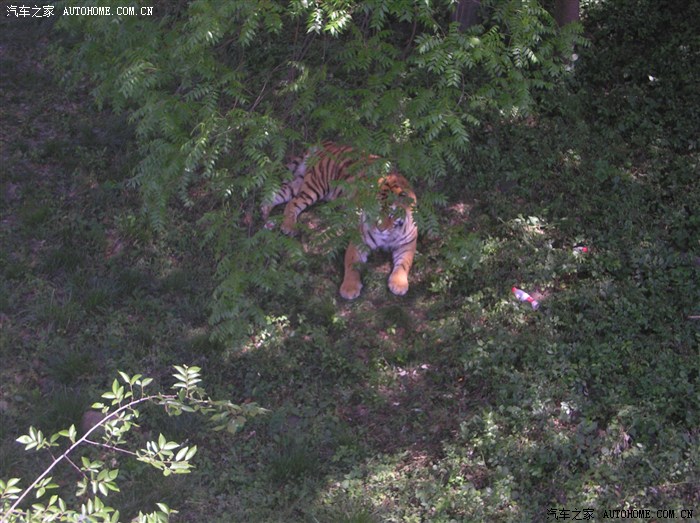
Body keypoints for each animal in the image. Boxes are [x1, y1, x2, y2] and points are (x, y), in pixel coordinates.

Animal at [262, 141, 416, 300]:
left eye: (391, 215)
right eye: (374, 211)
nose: (380, 229)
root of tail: (326, 143)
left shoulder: (407, 245)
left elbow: (404, 264)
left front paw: (398, 284)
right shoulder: (359, 241)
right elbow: (351, 264)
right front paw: (349, 289)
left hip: (299, 183)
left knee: (276, 195)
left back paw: (267, 217)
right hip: (315, 186)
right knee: (292, 203)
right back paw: (288, 226)